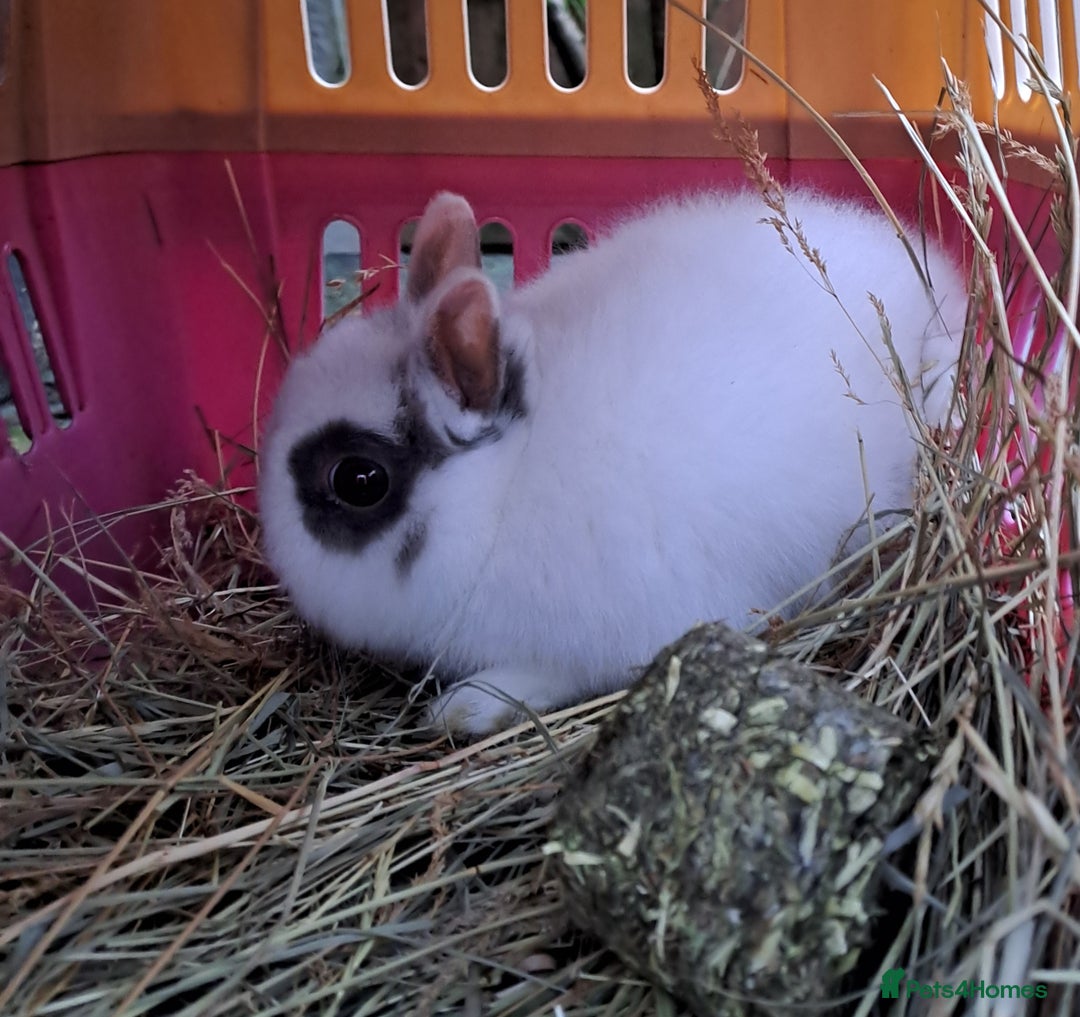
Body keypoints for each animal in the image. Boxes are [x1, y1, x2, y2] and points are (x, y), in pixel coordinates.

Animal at [258, 188, 965, 736]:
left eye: (359, 480)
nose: (276, 554)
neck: (498, 497)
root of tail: (931, 279)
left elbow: (546, 675)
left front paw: (463, 708)